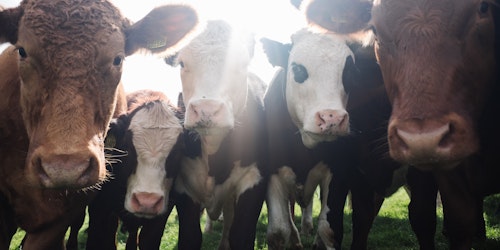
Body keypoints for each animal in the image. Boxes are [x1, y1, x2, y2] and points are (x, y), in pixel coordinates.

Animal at [165, 20, 270, 250]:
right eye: (182, 63)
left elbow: (240, 235)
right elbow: (190, 237)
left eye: (241, 64)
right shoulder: (183, 186)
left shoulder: (254, 179)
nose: (207, 109)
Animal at [262, 27, 398, 250]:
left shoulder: (339, 172)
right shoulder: (273, 170)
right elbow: (278, 231)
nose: (332, 117)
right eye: (298, 69)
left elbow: (329, 229)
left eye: (351, 73)